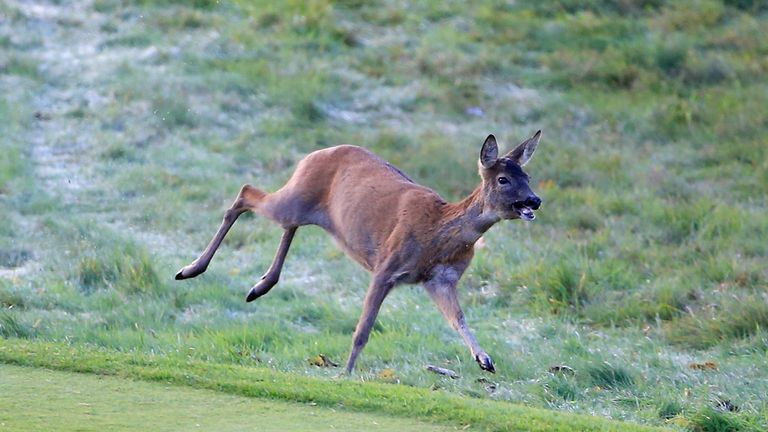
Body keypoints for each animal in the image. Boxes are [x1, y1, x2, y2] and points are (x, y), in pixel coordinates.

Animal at [175, 131, 542, 373]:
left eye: (528, 175)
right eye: (504, 179)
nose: (535, 200)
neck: (438, 233)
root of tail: (312, 153)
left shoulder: (440, 279)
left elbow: (459, 319)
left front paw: (485, 359)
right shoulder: (386, 266)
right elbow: (363, 329)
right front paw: (346, 373)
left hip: (305, 205)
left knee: (286, 223)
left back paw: (259, 286)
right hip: (294, 197)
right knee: (246, 192)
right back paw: (190, 270)